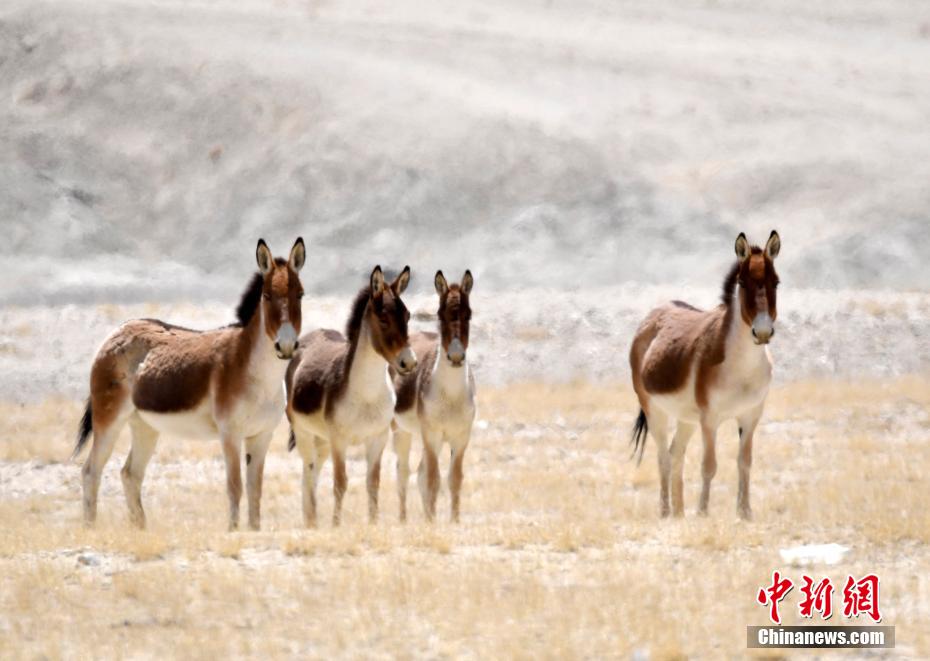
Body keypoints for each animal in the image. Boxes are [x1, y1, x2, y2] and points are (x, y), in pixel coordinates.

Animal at [72, 238, 306, 530]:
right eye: (266, 296)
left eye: (300, 295)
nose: (285, 346)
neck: (257, 375)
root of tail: (116, 332)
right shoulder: (230, 433)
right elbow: (235, 486)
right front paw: (232, 531)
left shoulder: (261, 435)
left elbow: (256, 490)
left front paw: (254, 530)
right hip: (109, 418)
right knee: (91, 471)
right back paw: (90, 529)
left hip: (144, 425)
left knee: (130, 474)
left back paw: (141, 530)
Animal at [285, 266, 416, 527]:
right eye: (383, 318)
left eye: (407, 316)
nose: (409, 362)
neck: (366, 395)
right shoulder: (339, 440)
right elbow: (340, 483)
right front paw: (336, 526)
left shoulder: (378, 438)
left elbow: (373, 484)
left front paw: (373, 523)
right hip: (305, 433)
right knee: (308, 472)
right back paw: (312, 523)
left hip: (321, 440)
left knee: (311, 475)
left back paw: (311, 522)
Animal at [393, 270, 476, 523]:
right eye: (440, 315)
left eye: (469, 315)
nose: (456, 357)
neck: (450, 397)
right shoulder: (431, 434)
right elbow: (432, 480)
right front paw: (432, 524)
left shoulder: (461, 437)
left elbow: (454, 479)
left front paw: (453, 521)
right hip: (400, 431)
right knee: (402, 473)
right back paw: (403, 520)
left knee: (418, 473)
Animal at [629, 231, 780, 520]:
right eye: (742, 283)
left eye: (776, 282)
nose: (763, 332)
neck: (741, 367)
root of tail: (655, 313)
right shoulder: (710, 418)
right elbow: (709, 465)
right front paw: (703, 511)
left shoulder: (751, 415)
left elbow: (745, 462)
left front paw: (745, 512)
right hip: (654, 409)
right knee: (663, 456)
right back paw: (665, 511)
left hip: (686, 417)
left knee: (676, 453)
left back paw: (679, 512)